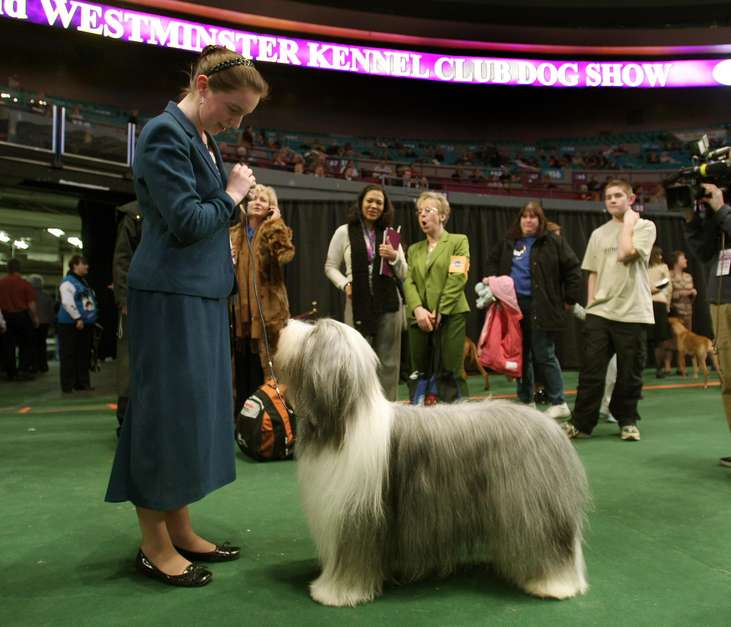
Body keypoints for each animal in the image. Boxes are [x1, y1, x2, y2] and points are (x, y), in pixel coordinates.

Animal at [274, 318, 588, 608]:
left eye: (314, 332)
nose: (285, 323)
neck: (345, 422)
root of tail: (551, 427)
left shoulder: (355, 517)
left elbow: (351, 560)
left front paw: (334, 593)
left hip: (530, 507)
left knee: (547, 545)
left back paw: (553, 585)